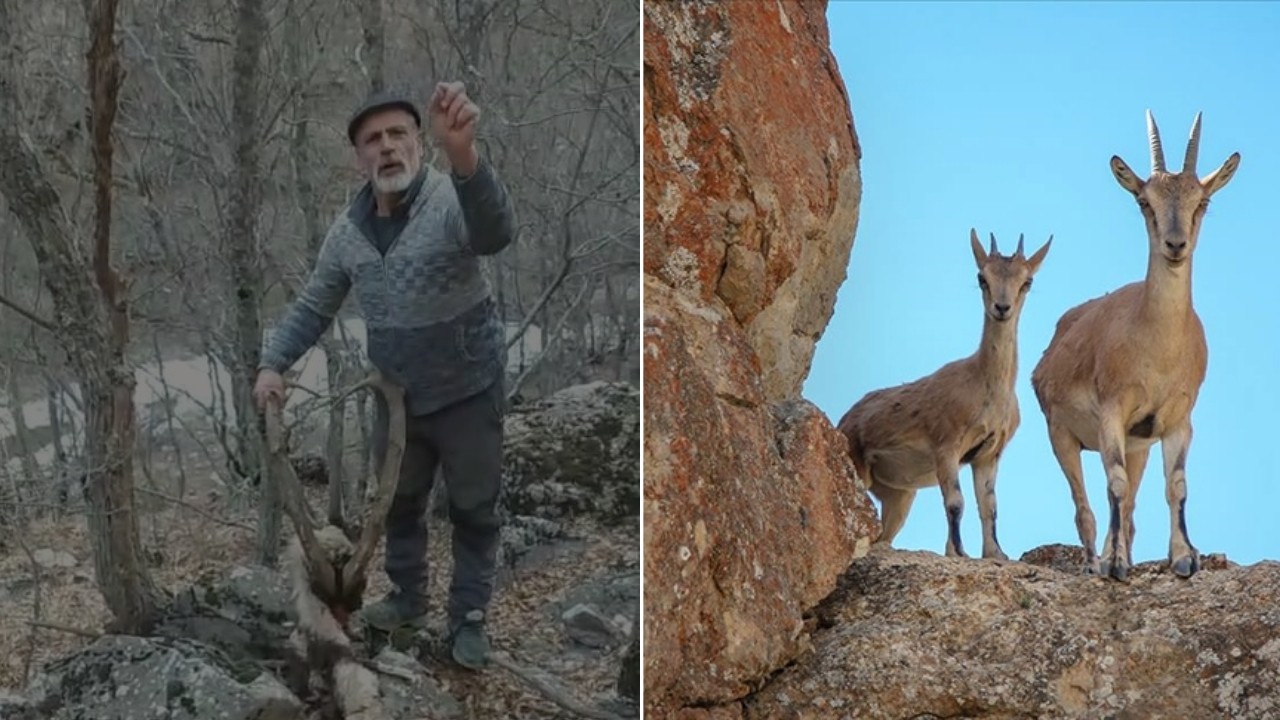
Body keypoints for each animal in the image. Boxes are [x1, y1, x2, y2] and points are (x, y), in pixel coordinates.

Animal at [839, 233, 1049, 558]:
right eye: (982, 278)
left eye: (1027, 281)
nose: (1002, 308)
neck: (987, 388)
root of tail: (843, 421)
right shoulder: (946, 445)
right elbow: (955, 502)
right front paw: (957, 551)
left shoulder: (988, 453)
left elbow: (989, 505)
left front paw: (995, 553)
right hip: (860, 468)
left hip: (900, 494)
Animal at [1029, 113, 1239, 584]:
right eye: (1144, 201)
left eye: (1202, 202)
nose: (1175, 245)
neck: (1157, 349)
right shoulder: (1112, 411)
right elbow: (1115, 484)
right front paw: (1117, 565)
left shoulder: (1176, 419)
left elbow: (1176, 486)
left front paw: (1183, 559)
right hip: (1061, 435)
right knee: (1086, 508)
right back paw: (1095, 562)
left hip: (1138, 444)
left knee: (1129, 510)